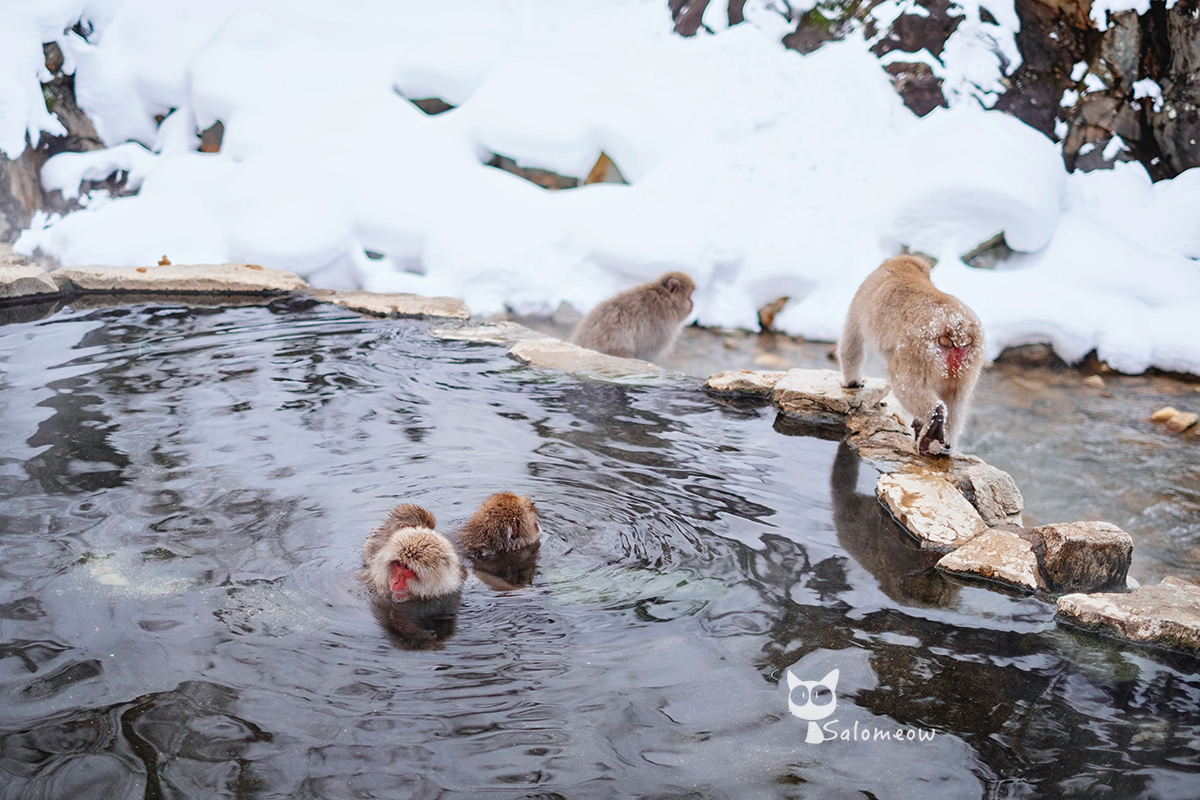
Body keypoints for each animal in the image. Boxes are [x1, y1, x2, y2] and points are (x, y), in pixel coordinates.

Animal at [835, 256, 984, 455]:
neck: (904, 267)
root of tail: (956, 327)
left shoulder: (859, 302)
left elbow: (852, 345)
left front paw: (851, 383)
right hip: (970, 361)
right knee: (957, 401)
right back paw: (941, 447)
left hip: (915, 351)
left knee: (904, 384)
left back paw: (935, 416)